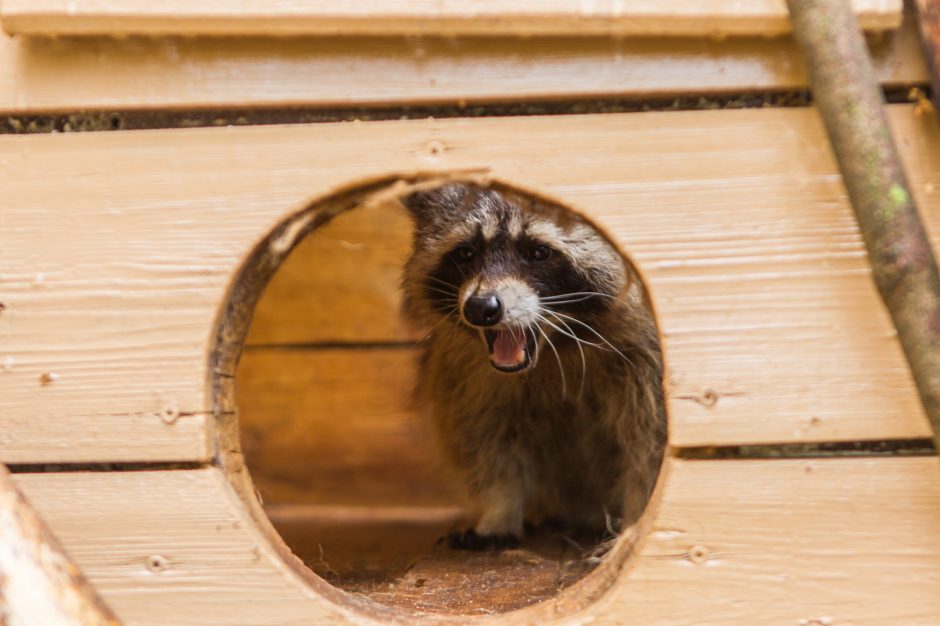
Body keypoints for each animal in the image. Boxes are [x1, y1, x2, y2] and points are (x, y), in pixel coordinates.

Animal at [400, 182, 664, 544]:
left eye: (538, 252)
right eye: (466, 253)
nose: (481, 308)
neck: (560, 343)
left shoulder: (646, 367)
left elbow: (647, 450)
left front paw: (638, 521)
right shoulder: (472, 375)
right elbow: (488, 440)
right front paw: (498, 510)